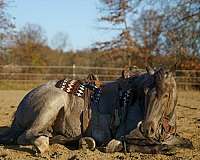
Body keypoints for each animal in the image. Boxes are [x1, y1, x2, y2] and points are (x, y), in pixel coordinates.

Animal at [0, 66, 192, 154]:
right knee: (26, 135)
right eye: (145, 93)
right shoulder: (125, 135)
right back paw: (42, 143)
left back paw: (81, 141)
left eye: (166, 95)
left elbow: (186, 143)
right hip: (51, 105)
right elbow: (145, 145)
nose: (146, 128)